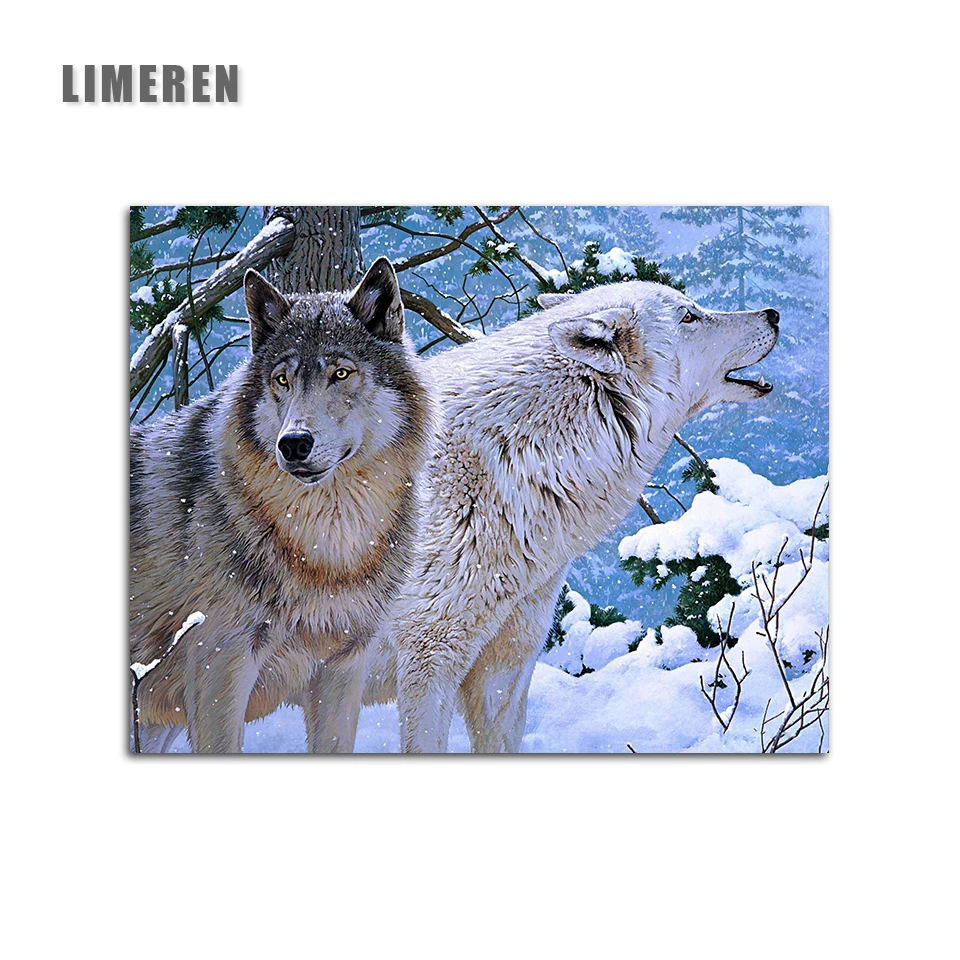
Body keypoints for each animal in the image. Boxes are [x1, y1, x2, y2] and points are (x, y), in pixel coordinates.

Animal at [130, 258, 434, 753]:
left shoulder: (345, 663)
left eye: (341, 374)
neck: (330, 546)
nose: (293, 443)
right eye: (282, 379)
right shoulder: (221, 666)